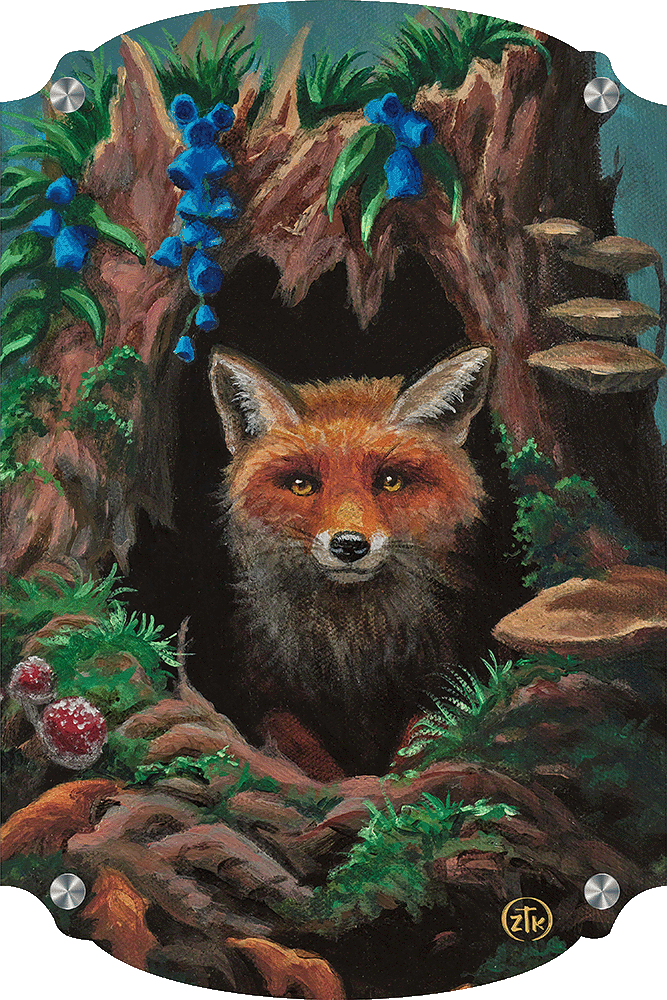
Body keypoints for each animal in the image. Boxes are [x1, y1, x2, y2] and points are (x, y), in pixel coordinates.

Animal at [209, 346, 493, 776]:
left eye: (390, 481)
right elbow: (307, 756)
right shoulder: (268, 699)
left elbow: (417, 745)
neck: (353, 642)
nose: (348, 545)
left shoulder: (441, 682)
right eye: (301, 485)